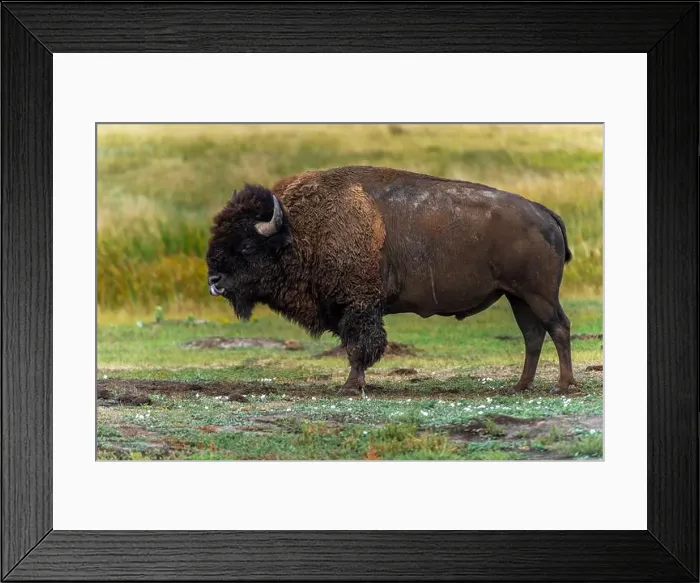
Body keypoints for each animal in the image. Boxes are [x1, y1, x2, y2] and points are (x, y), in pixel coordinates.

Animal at [206, 166, 576, 396]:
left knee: (558, 327)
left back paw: (562, 385)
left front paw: (350, 387)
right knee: (532, 335)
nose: (214, 280)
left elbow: (360, 346)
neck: (297, 232)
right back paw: (521, 386)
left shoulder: (360, 305)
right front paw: (354, 384)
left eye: (246, 245)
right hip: (517, 297)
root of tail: (544, 213)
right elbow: (354, 345)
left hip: (539, 295)